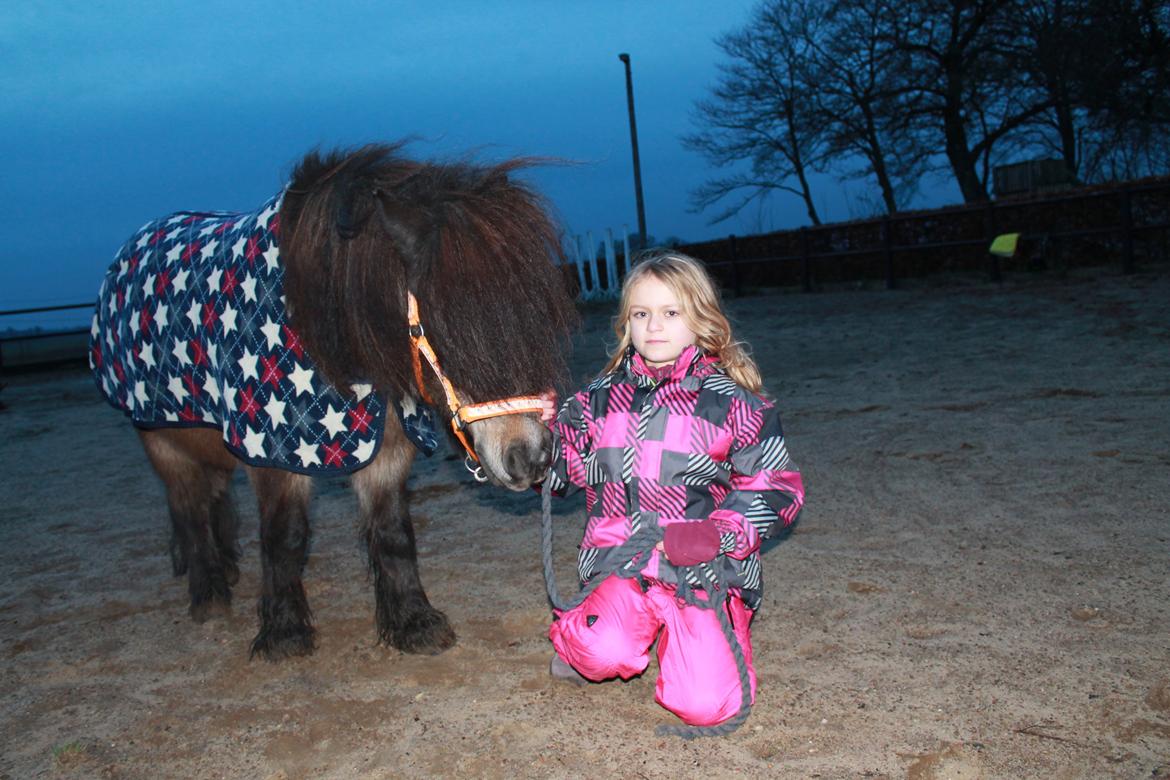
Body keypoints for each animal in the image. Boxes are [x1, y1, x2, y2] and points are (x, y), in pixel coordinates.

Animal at [89, 144, 578, 660]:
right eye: (448, 333)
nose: (531, 457)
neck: (326, 333)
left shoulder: (387, 447)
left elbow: (393, 532)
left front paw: (413, 621)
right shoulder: (273, 453)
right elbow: (284, 536)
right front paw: (284, 632)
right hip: (161, 440)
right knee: (188, 505)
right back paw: (208, 590)